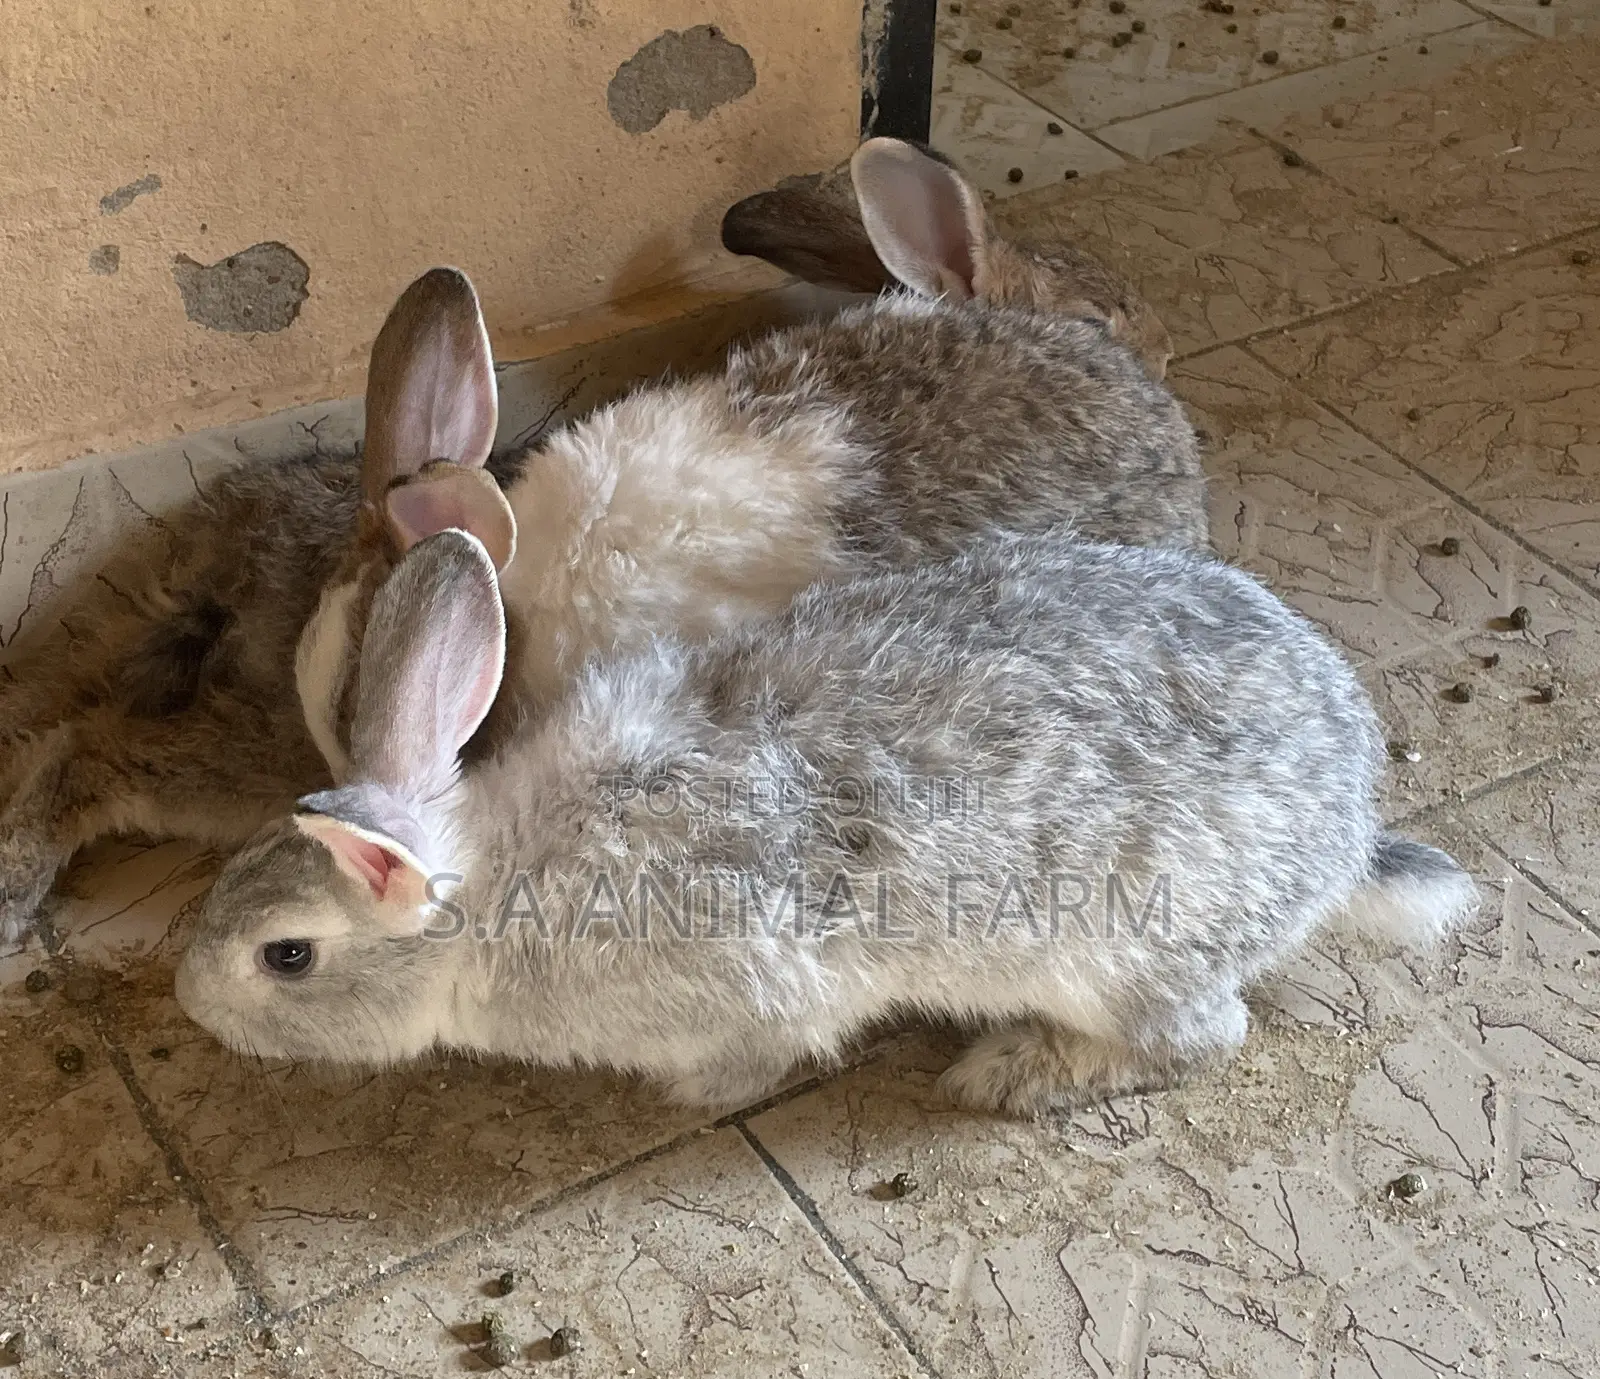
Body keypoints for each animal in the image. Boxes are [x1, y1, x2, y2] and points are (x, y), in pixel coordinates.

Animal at [175, 527, 1478, 1117]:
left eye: (284, 956)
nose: (188, 1005)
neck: (493, 895)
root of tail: (1347, 831)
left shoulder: (741, 991)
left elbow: (756, 1047)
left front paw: (692, 1098)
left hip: (1124, 953)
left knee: (1204, 1034)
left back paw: (1008, 1070)